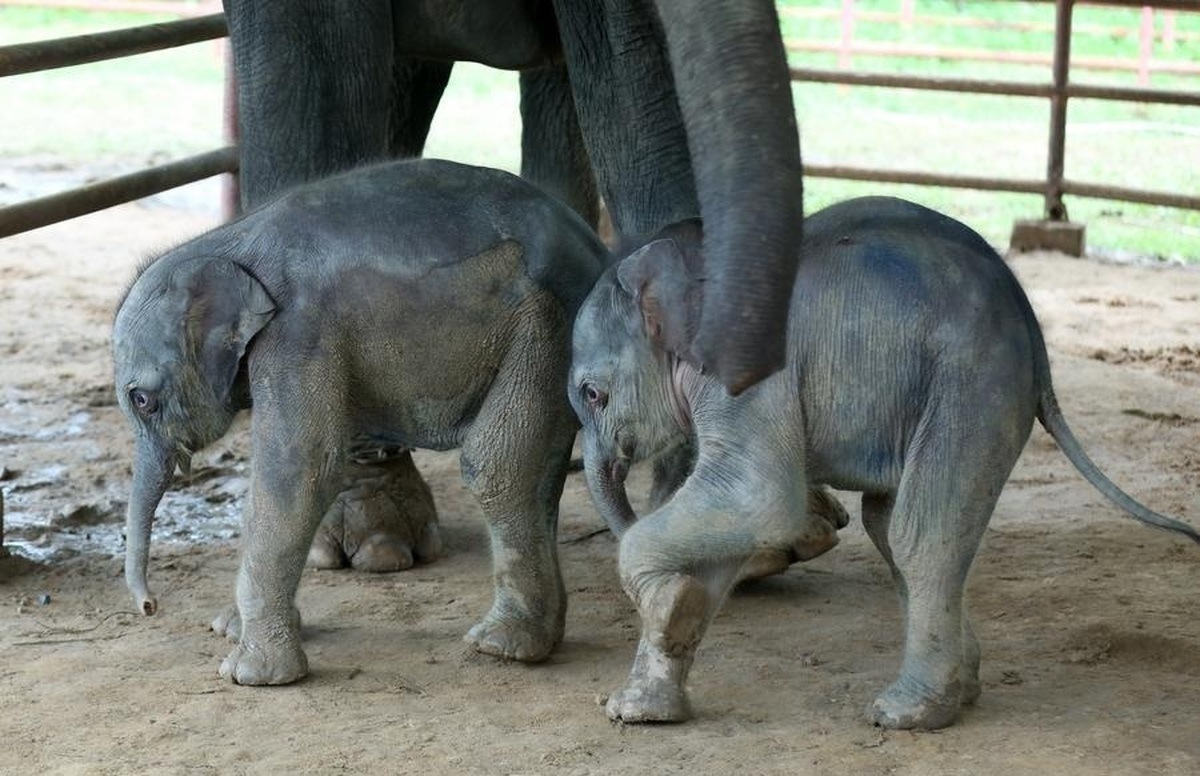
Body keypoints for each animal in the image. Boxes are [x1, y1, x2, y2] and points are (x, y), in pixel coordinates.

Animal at [113, 158, 609, 686]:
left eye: (142, 400)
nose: (149, 606)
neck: (222, 243)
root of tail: (598, 251)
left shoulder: (299, 335)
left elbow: (300, 470)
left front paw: (250, 673)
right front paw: (229, 629)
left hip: (548, 325)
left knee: (497, 467)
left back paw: (502, 646)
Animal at [566, 197, 1195, 734]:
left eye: (593, 395)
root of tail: (1036, 339)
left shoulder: (748, 373)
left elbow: (756, 497)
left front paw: (670, 609)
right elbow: (733, 522)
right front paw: (641, 703)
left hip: (972, 385)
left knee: (924, 536)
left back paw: (907, 714)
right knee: (889, 527)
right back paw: (962, 688)